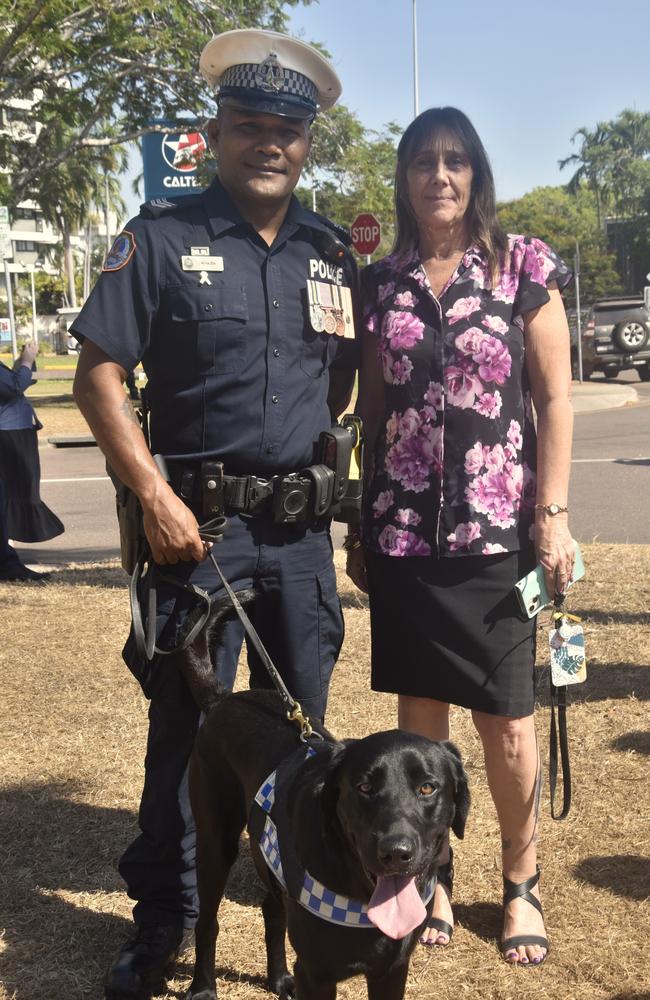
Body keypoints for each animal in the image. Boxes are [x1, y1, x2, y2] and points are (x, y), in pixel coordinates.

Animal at [175, 592, 468, 1000]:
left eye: (427, 787)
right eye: (364, 787)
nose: (396, 853)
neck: (361, 899)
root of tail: (223, 699)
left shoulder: (392, 969)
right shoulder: (316, 973)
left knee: (272, 910)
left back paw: (279, 979)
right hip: (215, 840)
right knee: (208, 919)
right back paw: (203, 988)